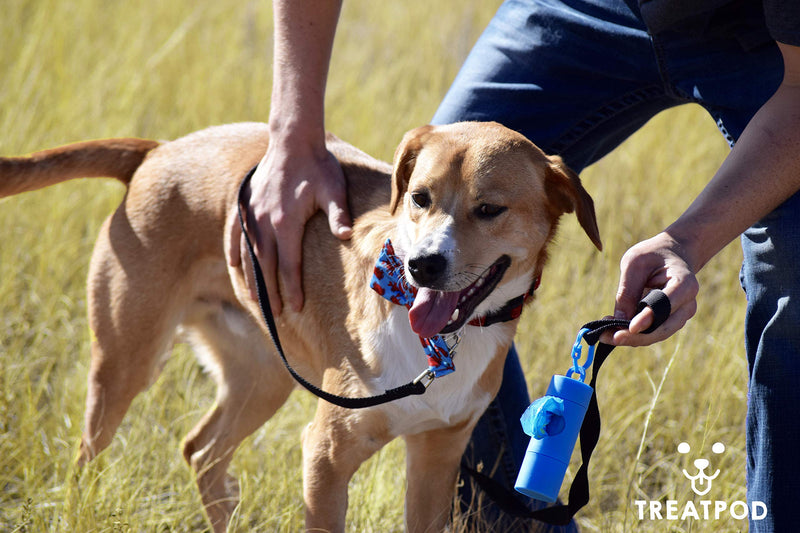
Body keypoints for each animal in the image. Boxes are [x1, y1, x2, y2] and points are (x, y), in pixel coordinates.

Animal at [0, 122, 600, 528]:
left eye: (490, 209)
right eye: (419, 197)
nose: (422, 265)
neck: (441, 343)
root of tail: (160, 152)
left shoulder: (437, 455)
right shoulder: (325, 455)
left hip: (264, 378)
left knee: (201, 452)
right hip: (127, 363)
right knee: (87, 459)